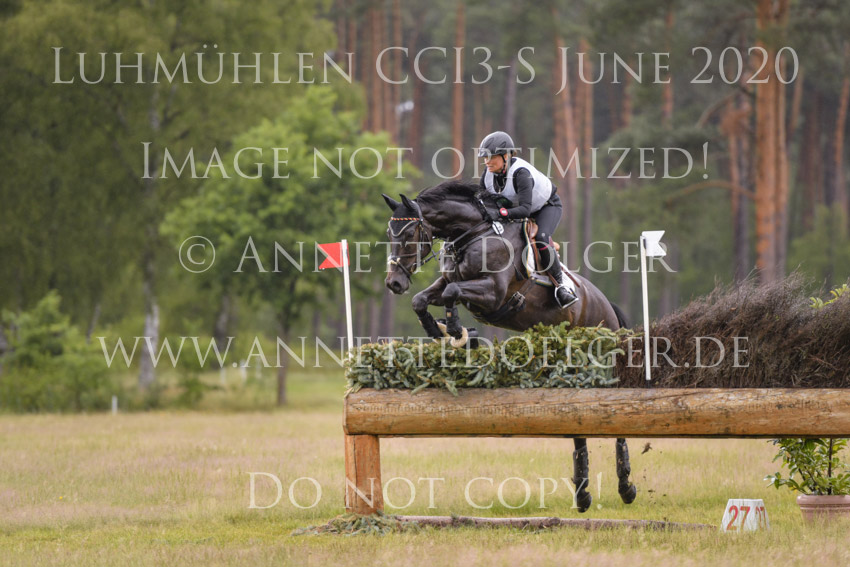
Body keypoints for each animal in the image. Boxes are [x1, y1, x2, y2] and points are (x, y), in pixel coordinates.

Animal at [382, 179, 637, 513]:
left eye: (410, 233)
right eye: (389, 234)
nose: (394, 283)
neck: (473, 234)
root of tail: (609, 308)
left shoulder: (493, 293)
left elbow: (452, 292)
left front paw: (457, 331)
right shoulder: (449, 282)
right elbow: (422, 299)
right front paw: (441, 331)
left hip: (602, 362)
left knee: (616, 423)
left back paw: (626, 487)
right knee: (578, 426)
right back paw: (582, 495)